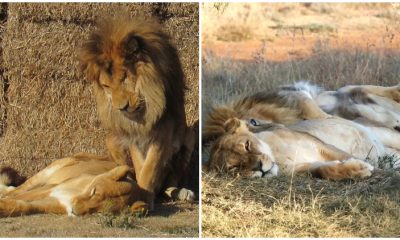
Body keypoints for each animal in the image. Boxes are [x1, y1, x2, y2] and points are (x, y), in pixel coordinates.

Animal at [0, 154, 146, 218]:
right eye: (94, 192)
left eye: (99, 211)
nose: (74, 211)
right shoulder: (50, 188)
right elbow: (19, 197)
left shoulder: (55, 202)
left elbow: (25, 206)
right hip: (45, 175)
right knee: (16, 190)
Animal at [78, 15, 195, 209]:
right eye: (106, 86)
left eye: (125, 77)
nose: (121, 108)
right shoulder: (132, 134)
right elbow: (140, 168)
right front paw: (140, 192)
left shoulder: (164, 132)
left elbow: (150, 168)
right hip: (111, 140)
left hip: (189, 137)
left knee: (170, 182)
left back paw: (180, 192)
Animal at [209, 118, 376, 180]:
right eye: (234, 167)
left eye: (247, 145)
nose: (259, 168)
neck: (278, 156)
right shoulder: (299, 168)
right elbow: (324, 170)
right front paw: (359, 169)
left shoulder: (321, 145)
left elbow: (343, 155)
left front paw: (365, 167)